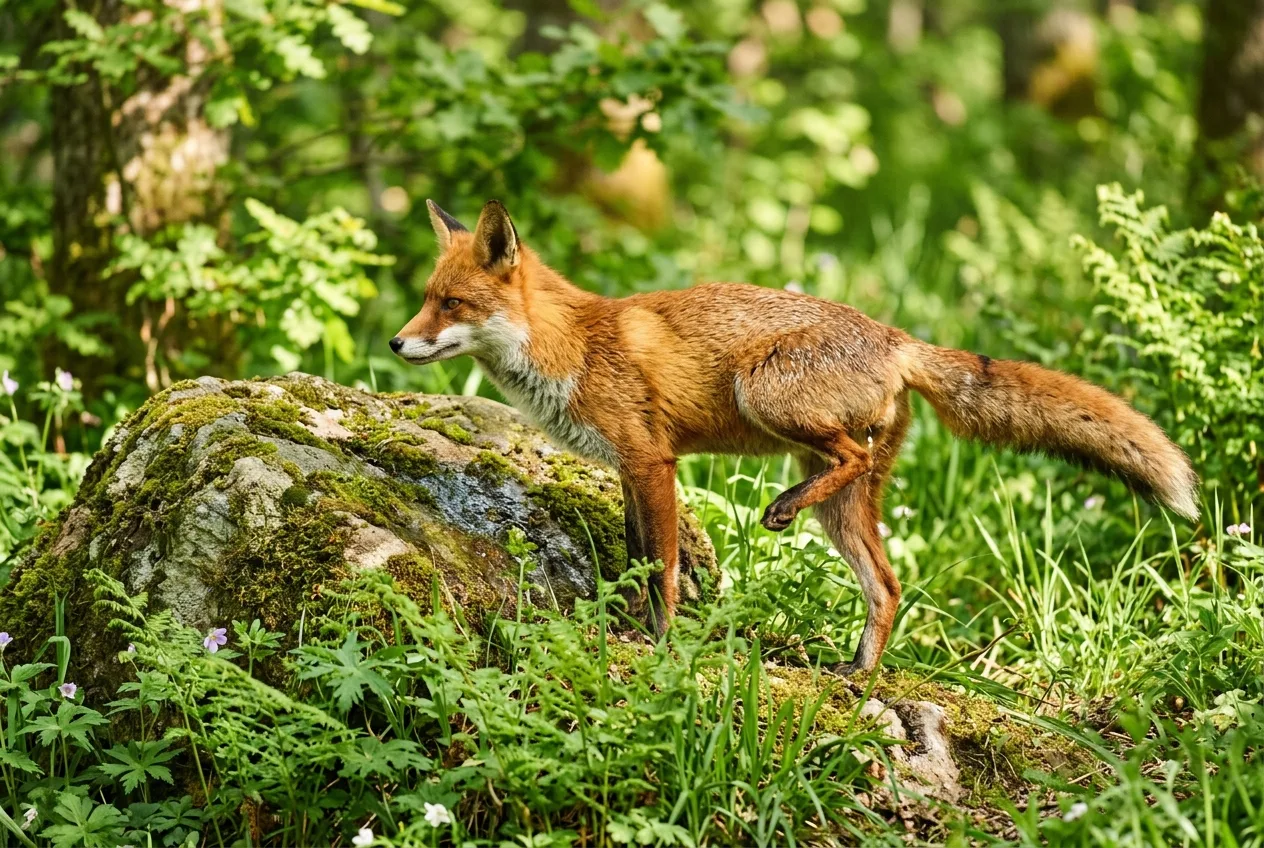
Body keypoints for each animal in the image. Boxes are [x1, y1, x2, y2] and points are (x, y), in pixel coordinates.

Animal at [391, 198, 1199, 674]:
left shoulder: (652, 461)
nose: (398, 343)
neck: (572, 348)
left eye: (452, 304)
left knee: (852, 458)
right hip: (847, 508)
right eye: (426, 299)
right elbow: (638, 560)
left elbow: (664, 571)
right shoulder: (626, 471)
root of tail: (896, 337)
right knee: (887, 583)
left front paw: (660, 643)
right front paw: (635, 625)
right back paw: (858, 676)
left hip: (766, 393)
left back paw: (783, 512)